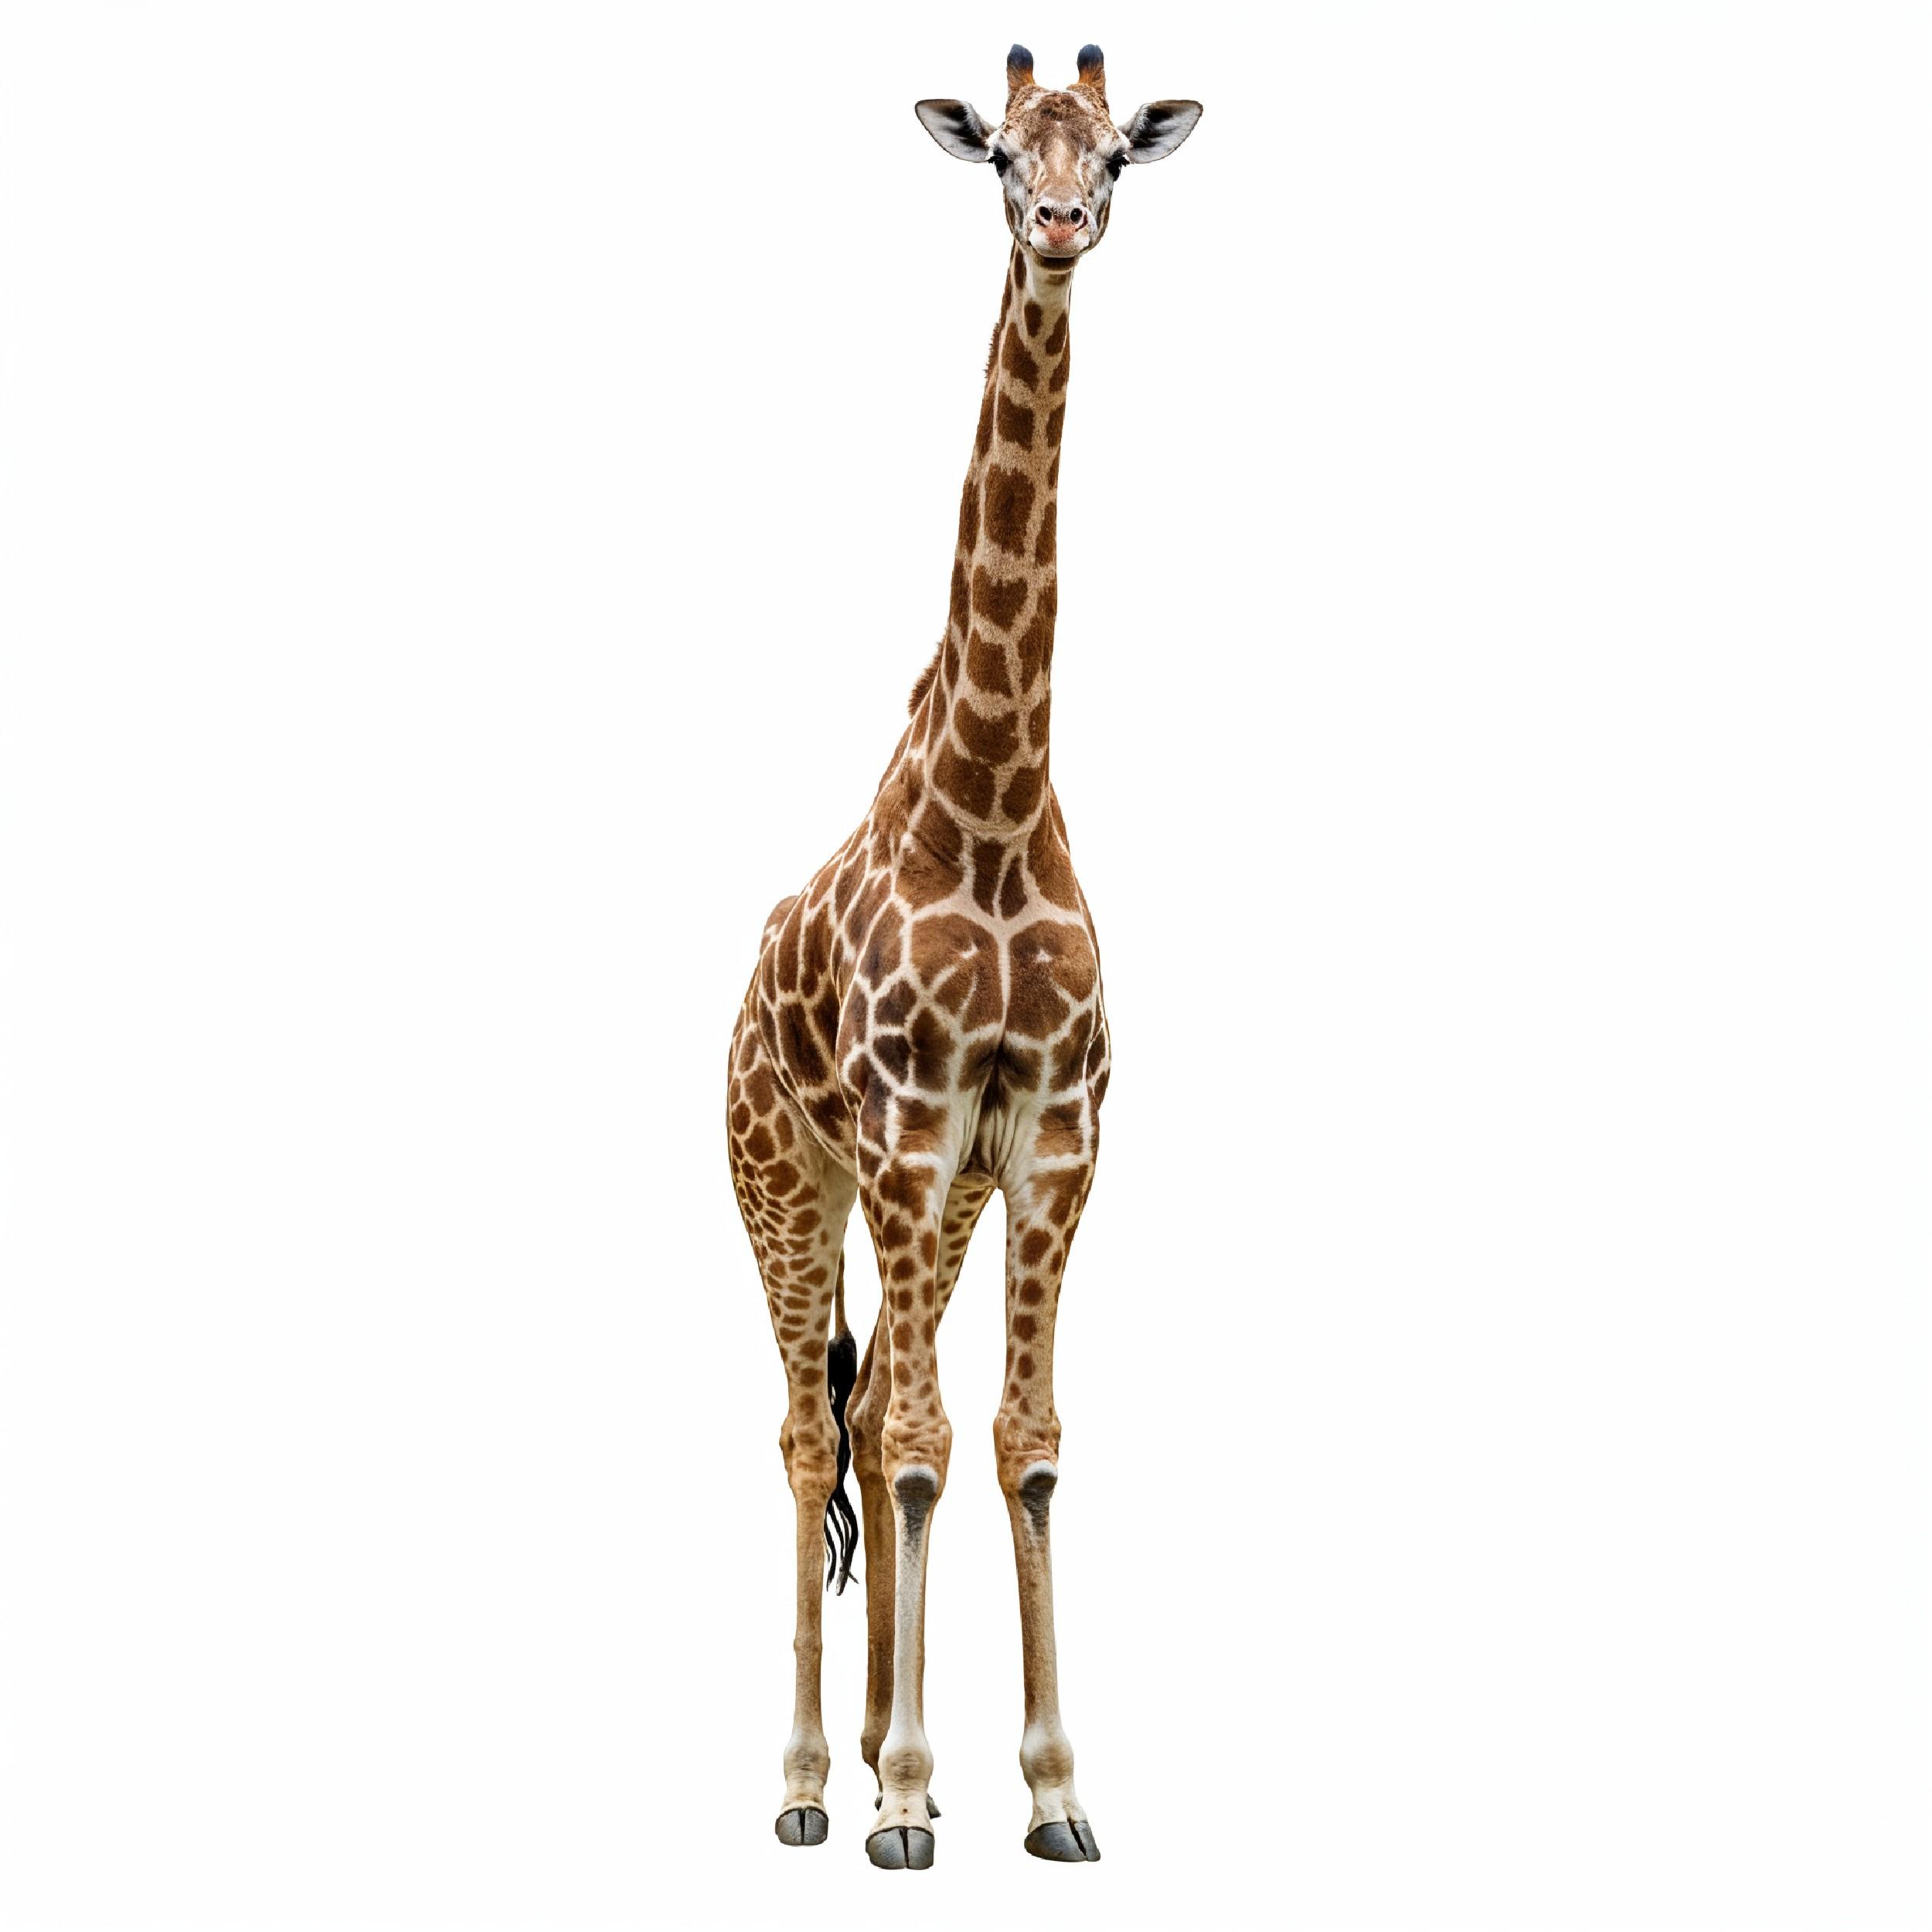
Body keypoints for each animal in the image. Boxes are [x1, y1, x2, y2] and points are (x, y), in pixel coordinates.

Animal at [725, 43, 1202, 1871]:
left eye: (1114, 154)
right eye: (1002, 152)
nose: (1060, 226)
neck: (992, 798)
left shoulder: (1051, 1144)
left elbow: (1023, 1441)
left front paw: (1052, 1789)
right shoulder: (918, 1135)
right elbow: (925, 1441)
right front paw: (918, 1799)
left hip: (905, 1196)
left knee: (868, 1418)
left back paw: (861, 1748)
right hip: (788, 1181)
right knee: (815, 1430)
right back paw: (809, 1778)